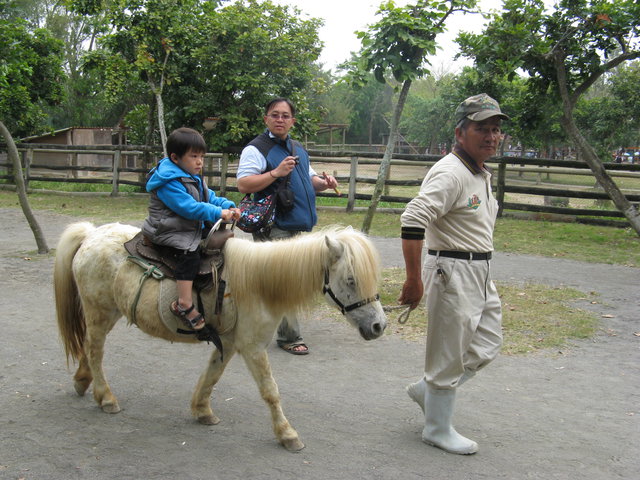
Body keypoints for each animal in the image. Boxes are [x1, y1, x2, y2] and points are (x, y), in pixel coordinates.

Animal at [53, 223, 384, 452]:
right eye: (351, 280)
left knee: (88, 348)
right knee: (95, 352)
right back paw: (106, 398)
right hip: (99, 313)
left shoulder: (229, 342)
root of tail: (91, 234)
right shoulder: (252, 348)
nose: (379, 325)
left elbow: (212, 375)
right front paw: (288, 434)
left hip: (106, 315)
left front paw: (202, 411)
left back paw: (82, 382)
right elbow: (270, 391)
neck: (260, 284)